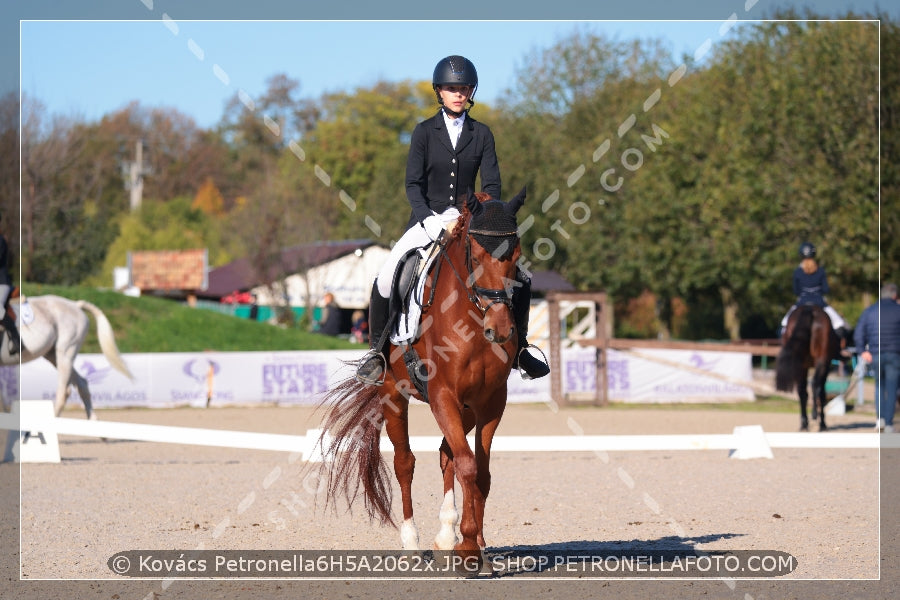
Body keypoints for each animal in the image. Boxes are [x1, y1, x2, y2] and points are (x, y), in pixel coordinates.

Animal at [318, 190, 524, 560]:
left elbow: (480, 472)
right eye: (476, 255)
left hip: (464, 409)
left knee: (447, 454)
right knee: (405, 462)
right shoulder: (443, 395)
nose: (500, 330)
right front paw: (468, 550)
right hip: (393, 394)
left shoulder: (490, 403)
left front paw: (477, 546)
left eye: (515, 256)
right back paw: (412, 541)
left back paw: (445, 535)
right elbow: (468, 466)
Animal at [772, 304, 844, 432]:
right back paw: (815, 416)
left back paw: (804, 423)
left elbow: (804, 392)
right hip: (821, 361)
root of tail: (809, 308)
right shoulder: (826, 364)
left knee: (802, 391)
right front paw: (822, 423)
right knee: (816, 385)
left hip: (801, 365)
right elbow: (822, 392)